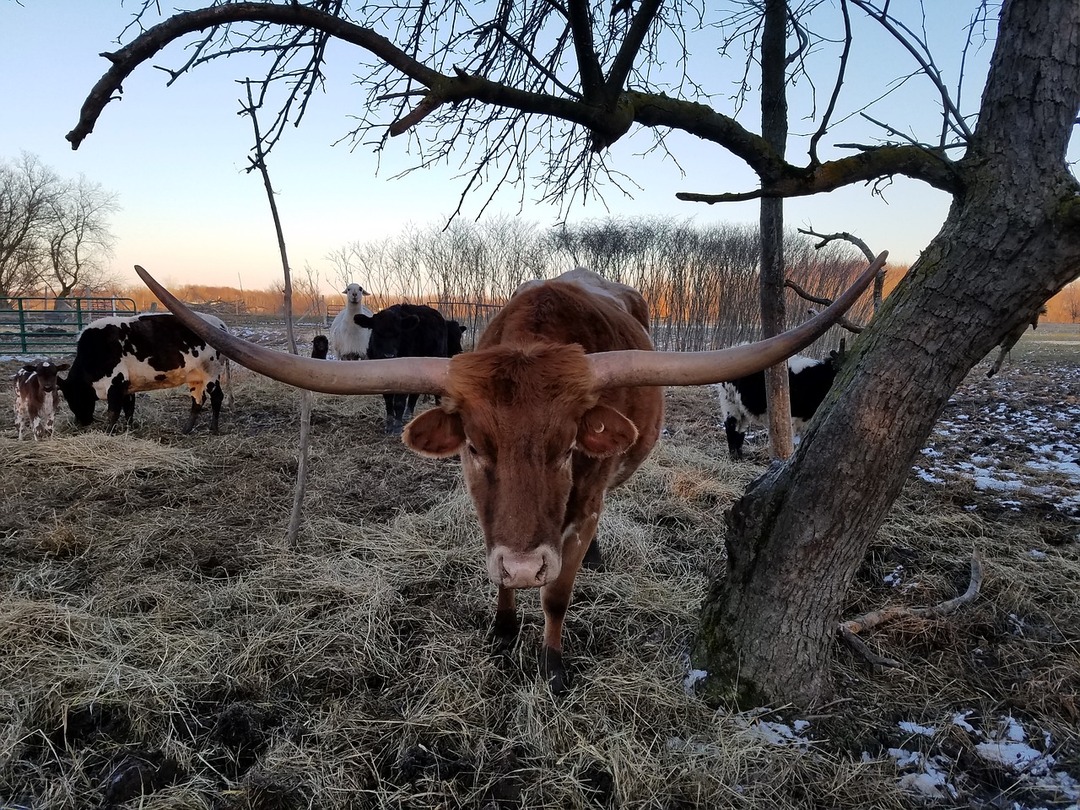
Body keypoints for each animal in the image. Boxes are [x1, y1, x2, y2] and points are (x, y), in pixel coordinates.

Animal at [59, 313, 230, 438]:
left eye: (71, 397)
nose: (82, 422)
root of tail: (220, 323)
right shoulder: (127, 388)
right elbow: (129, 409)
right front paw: (129, 429)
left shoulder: (116, 383)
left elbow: (113, 412)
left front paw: (108, 433)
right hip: (195, 378)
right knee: (198, 401)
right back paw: (186, 430)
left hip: (211, 373)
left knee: (217, 397)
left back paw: (213, 429)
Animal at [356, 302, 449, 432]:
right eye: (377, 332)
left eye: (398, 333)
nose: (389, 355)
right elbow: (388, 400)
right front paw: (390, 423)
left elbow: (399, 401)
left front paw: (397, 425)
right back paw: (408, 413)